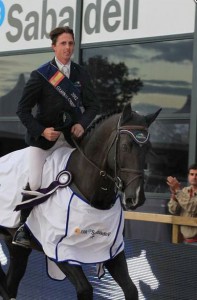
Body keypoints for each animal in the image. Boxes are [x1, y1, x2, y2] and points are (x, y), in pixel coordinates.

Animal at [0, 103, 160, 300]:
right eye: (125, 146)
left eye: (148, 147)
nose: (136, 197)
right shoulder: (60, 250)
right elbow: (85, 289)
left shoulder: (112, 250)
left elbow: (131, 289)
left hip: (16, 246)